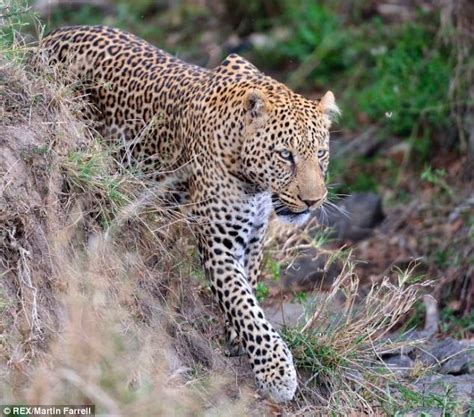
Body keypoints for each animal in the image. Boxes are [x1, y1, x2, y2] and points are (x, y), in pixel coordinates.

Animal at [39, 24, 336, 402]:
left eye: (321, 154)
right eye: (285, 155)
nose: (313, 200)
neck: (252, 180)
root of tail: (53, 35)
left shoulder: (254, 235)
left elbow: (249, 286)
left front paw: (236, 335)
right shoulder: (218, 240)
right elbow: (243, 302)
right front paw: (276, 371)